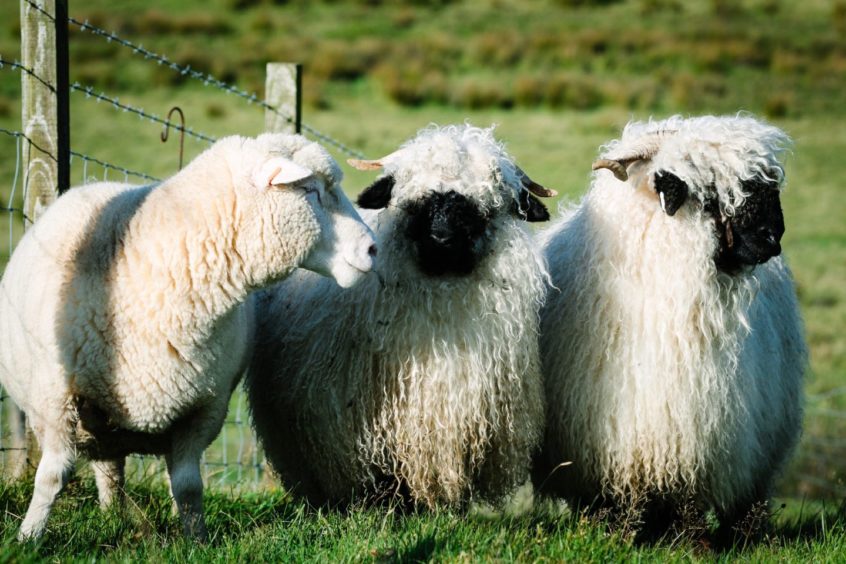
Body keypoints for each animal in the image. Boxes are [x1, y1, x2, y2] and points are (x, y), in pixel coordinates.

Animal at [0, 130, 378, 540]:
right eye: (310, 189)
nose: (372, 248)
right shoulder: (56, 401)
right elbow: (52, 477)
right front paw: (28, 538)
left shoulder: (205, 407)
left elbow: (187, 484)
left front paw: (196, 539)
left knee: (115, 468)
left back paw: (116, 514)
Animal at [536, 114, 808, 536]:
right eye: (711, 194)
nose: (772, 237)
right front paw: (617, 531)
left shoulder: (691, 433)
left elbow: (688, 501)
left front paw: (690, 540)